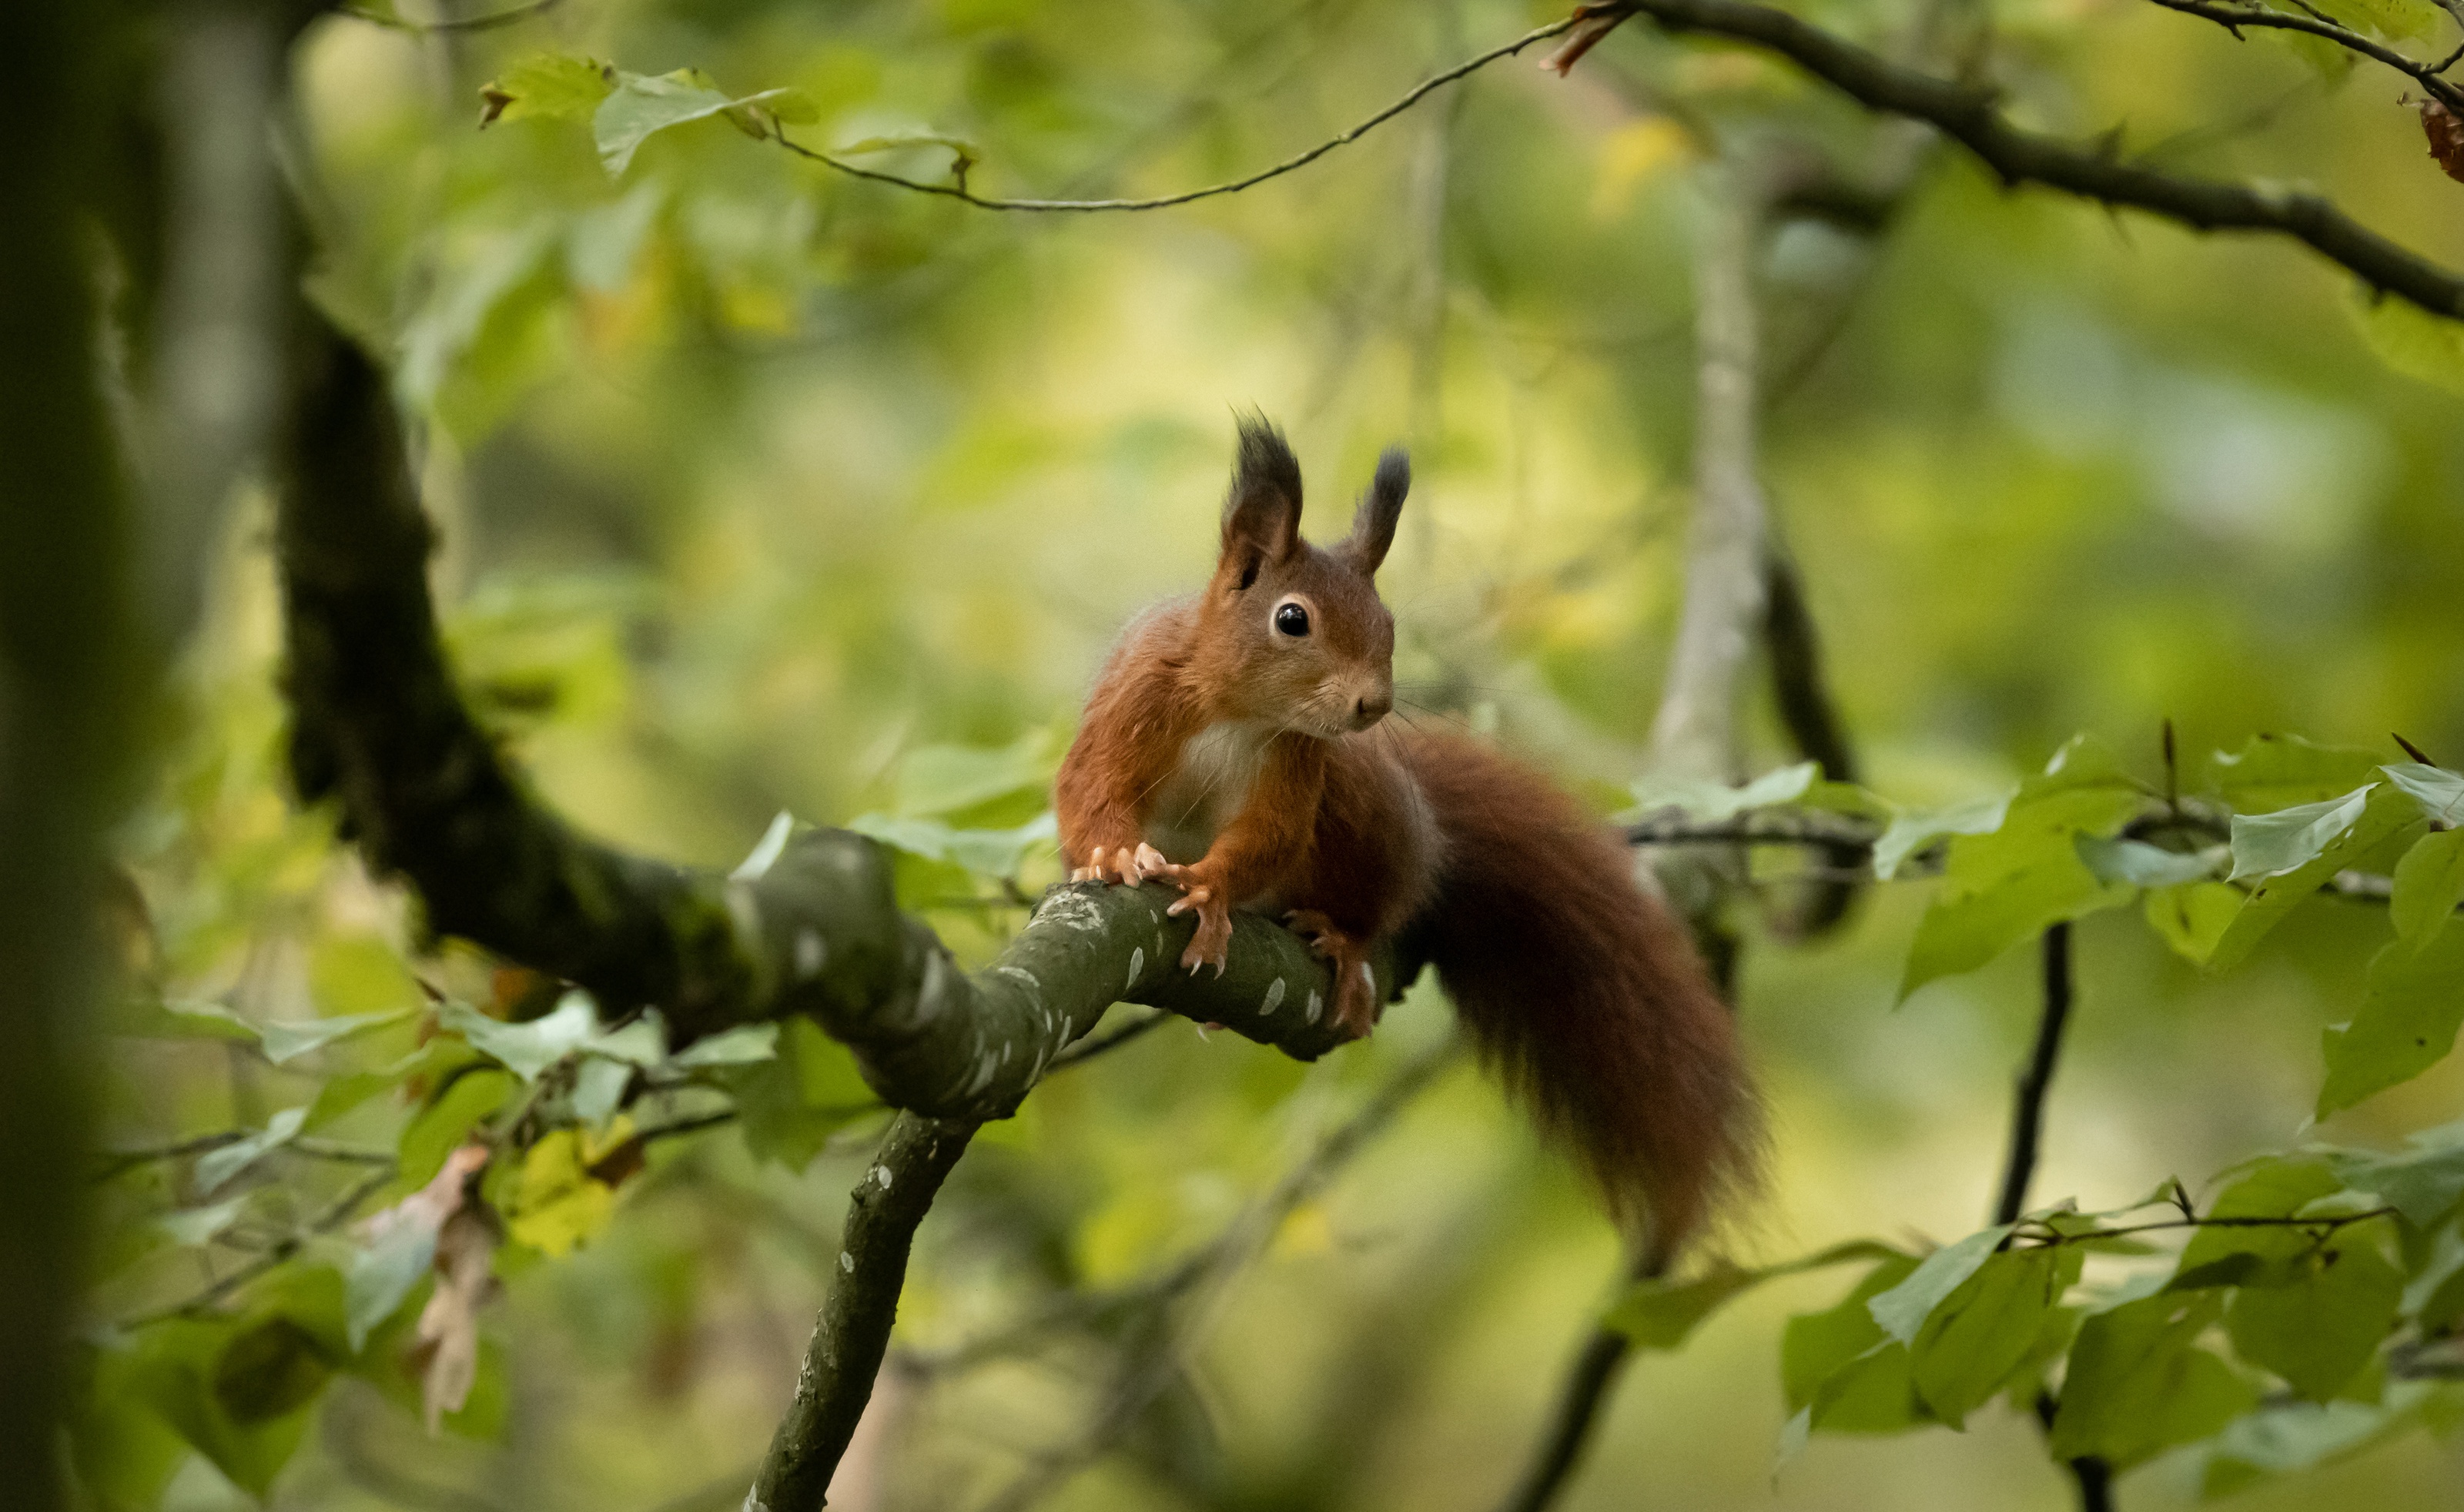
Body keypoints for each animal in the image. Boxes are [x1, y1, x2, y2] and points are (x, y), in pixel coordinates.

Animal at [1050, 420, 1764, 1260]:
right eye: (1291, 619)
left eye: (1388, 624)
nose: (1374, 704)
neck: (1240, 710)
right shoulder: (1136, 699)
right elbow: (1089, 788)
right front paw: (1113, 853)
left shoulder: (1299, 765)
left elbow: (1269, 837)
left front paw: (1211, 886)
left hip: (1365, 813)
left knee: (1375, 899)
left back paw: (1344, 940)